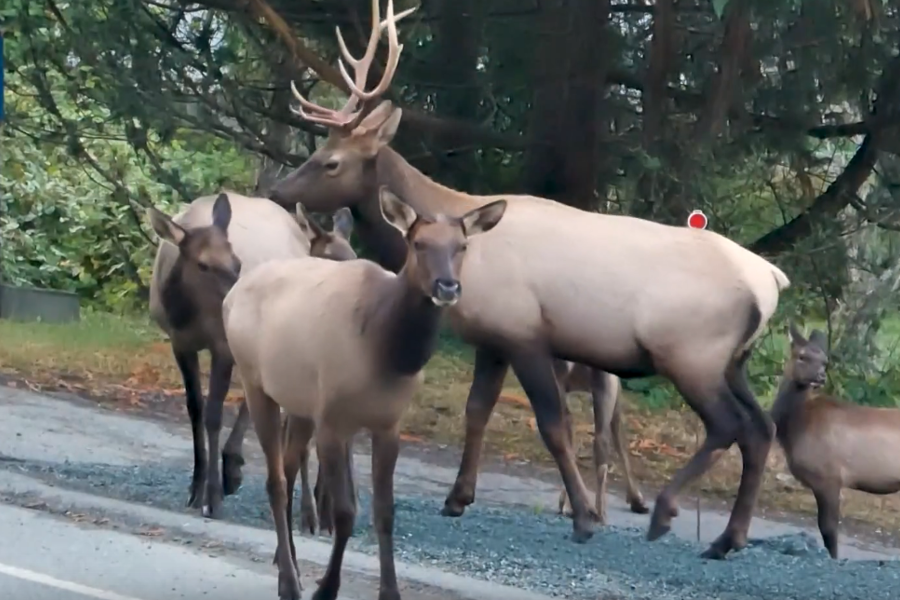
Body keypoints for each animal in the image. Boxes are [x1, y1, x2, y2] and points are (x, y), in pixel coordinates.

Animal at [149, 193, 354, 520]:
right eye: (203, 264)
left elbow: (214, 415)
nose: (238, 296)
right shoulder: (180, 344)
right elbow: (195, 410)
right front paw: (196, 488)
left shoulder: (222, 345)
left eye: (237, 262)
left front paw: (212, 497)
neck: (185, 313)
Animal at [222, 185, 510, 596]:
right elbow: (345, 512)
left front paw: (390, 591)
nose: (448, 286)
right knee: (275, 481)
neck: (385, 350)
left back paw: (286, 564)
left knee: (289, 470)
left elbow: (384, 512)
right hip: (255, 382)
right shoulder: (332, 421)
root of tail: (231, 294)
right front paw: (327, 588)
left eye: (463, 246)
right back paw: (290, 582)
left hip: (299, 402)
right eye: (418, 243)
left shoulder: (387, 425)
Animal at [270, 0, 792, 560]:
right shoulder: (492, 338)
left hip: (691, 353)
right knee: (761, 428)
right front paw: (458, 498)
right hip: (733, 361)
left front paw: (583, 518)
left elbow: (554, 426)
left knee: (730, 425)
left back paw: (666, 512)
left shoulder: (524, 332)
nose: (278, 192)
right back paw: (727, 537)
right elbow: (476, 411)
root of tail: (771, 280)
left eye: (330, 161)